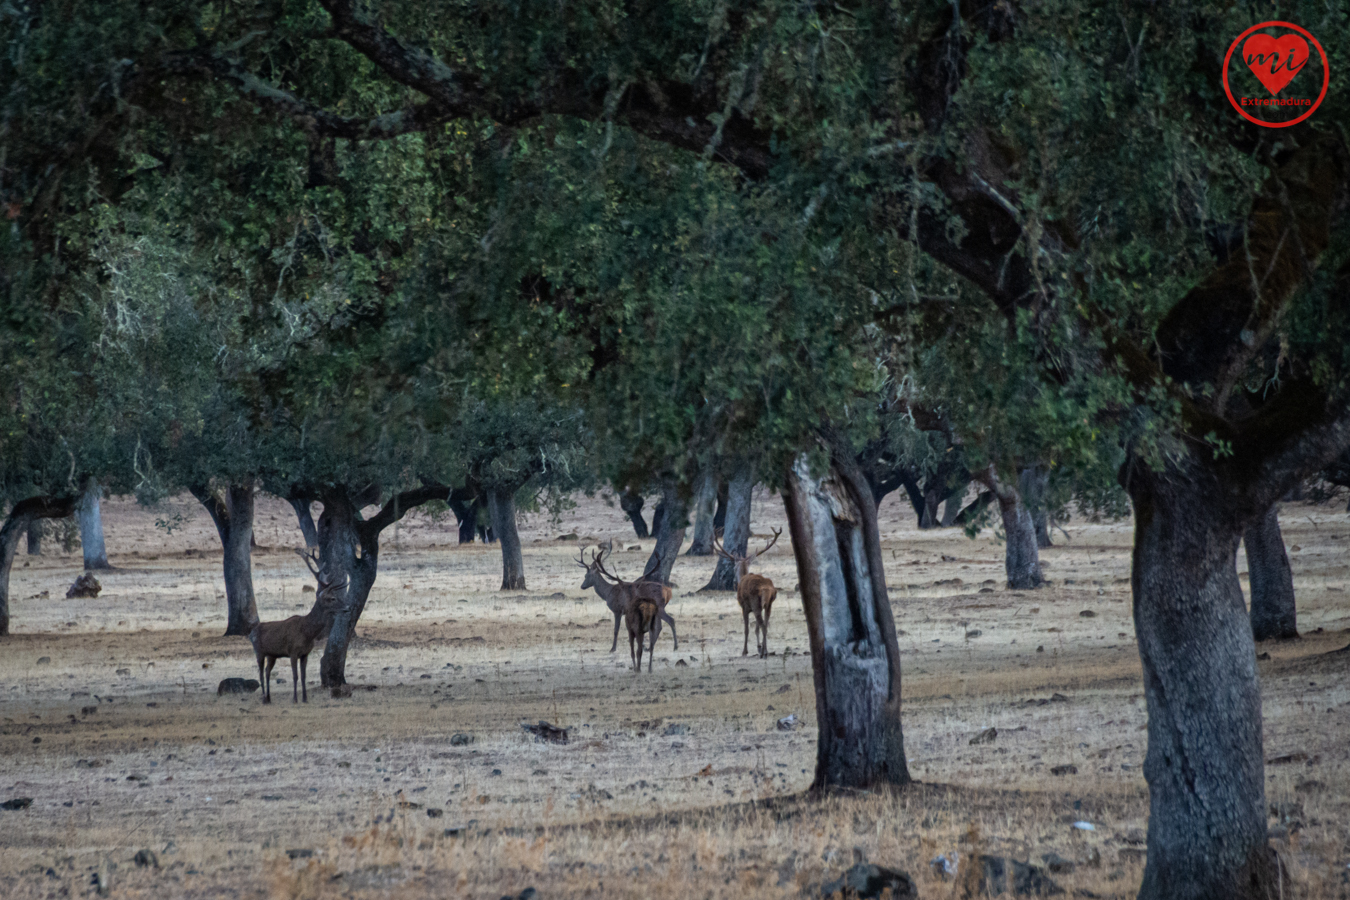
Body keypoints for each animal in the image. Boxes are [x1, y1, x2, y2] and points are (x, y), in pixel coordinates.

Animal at [248, 550, 345, 701]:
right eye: (332, 598)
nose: (347, 607)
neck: (307, 633)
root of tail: (250, 633)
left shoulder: (305, 654)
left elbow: (304, 676)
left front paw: (305, 699)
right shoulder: (292, 651)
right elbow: (295, 676)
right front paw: (295, 699)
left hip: (272, 655)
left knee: (267, 672)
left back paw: (269, 698)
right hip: (258, 651)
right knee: (260, 674)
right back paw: (264, 698)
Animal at [712, 528, 788, 661]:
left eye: (734, 567)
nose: (734, 580)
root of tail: (766, 588)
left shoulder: (745, 607)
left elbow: (747, 629)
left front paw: (745, 651)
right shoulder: (760, 607)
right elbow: (756, 629)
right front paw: (758, 647)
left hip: (755, 602)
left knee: (763, 625)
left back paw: (764, 653)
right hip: (768, 604)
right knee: (765, 625)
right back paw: (764, 651)